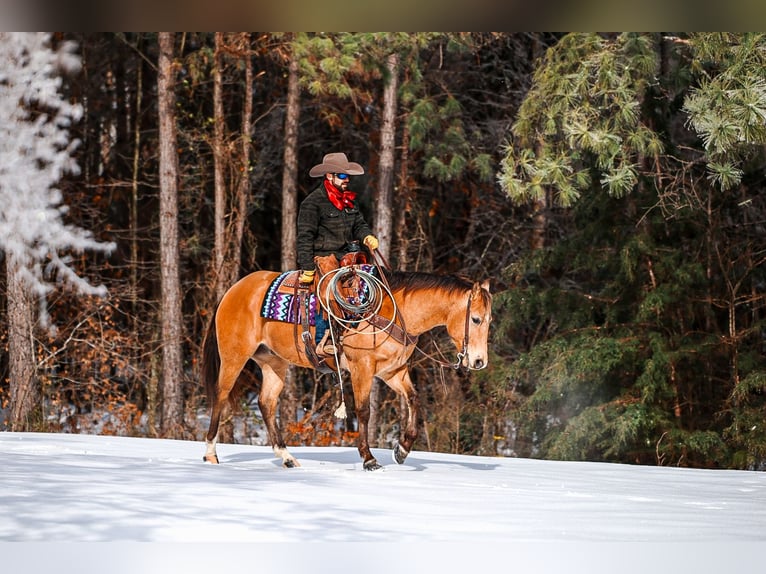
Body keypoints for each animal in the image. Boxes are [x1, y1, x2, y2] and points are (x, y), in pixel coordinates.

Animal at [201, 266, 492, 470]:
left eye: (489, 320)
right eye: (476, 319)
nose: (479, 361)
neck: (395, 311)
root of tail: (233, 290)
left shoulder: (392, 372)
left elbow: (414, 400)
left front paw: (402, 449)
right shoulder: (362, 368)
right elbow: (363, 411)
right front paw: (369, 458)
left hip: (273, 362)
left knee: (266, 403)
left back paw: (287, 458)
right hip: (234, 357)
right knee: (221, 396)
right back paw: (211, 454)